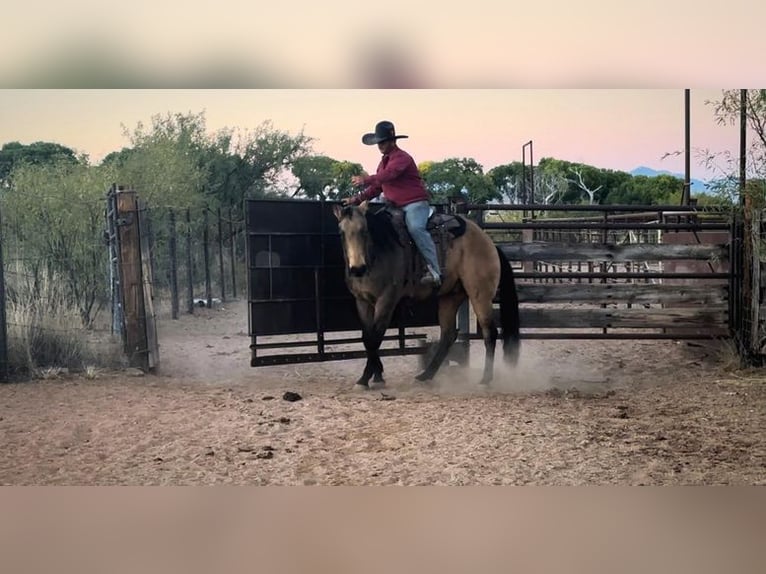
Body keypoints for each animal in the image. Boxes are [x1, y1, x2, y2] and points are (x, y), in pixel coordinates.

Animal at [332, 200, 520, 390]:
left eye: (364, 230)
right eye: (341, 232)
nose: (357, 268)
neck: (378, 253)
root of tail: (489, 243)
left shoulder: (386, 300)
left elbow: (375, 337)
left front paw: (365, 379)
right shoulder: (362, 301)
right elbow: (368, 338)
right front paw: (375, 376)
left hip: (480, 295)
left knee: (490, 333)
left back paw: (485, 379)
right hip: (451, 296)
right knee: (448, 335)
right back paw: (425, 375)